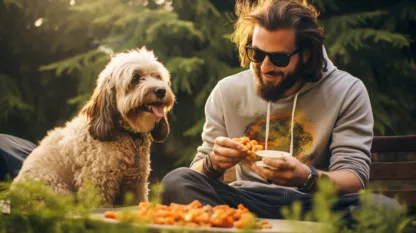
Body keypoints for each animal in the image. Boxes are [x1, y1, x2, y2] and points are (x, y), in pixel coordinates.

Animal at [13, 46, 175, 206]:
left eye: (157, 77)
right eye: (136, 78)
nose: (161, 91)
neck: (126, 134)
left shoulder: (136, 184)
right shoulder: (97, 183)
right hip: (57, 189)